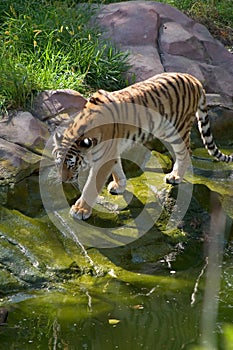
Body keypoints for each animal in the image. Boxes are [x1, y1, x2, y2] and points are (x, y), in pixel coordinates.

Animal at [52, 72, 233, 220]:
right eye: (58, 164)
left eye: (71, 165)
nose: (64, 180)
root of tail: (194, 79)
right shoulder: (112, 152)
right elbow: (117, 168)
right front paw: (119, 186)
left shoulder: (104, 158)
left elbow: (91, 186)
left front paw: (80, 210)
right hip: (165, 130)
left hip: (177, 130)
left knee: (186, 151)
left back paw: (175, 177)